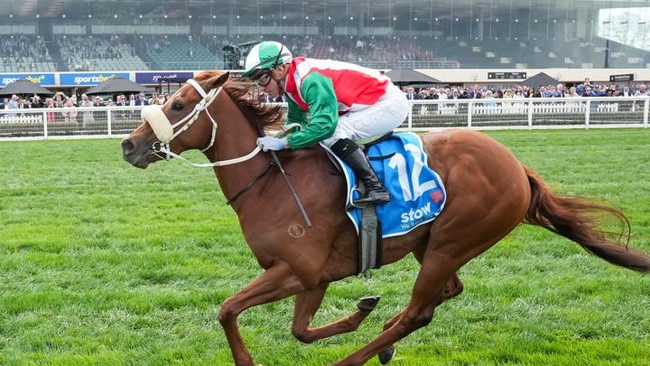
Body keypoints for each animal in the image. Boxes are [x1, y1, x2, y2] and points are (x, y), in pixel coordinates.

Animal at [121, 70, 648, 364]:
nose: (128, 145)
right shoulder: (314, 278)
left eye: (178, 104)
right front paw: (361, 310)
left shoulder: (297, 271)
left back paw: (354, 358)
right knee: (443, 295)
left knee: (420, 310)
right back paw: (383, 339)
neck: (271, 182)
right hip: (432, 244)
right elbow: (300, 330)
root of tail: (518, 167)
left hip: (453, 240)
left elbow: (228, 310)